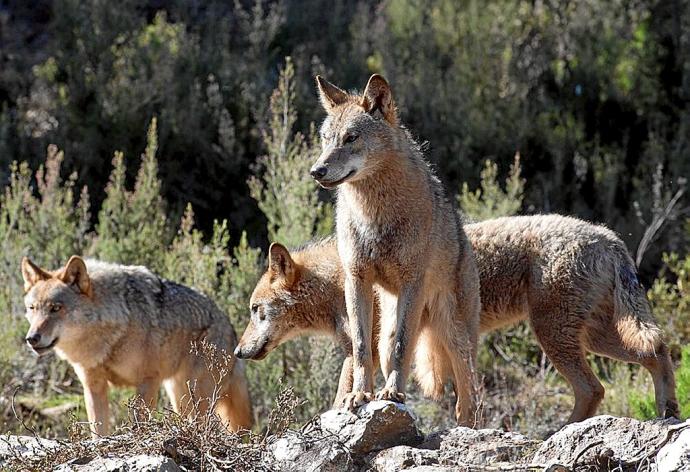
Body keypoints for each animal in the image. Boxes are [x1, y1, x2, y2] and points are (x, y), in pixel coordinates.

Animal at [20, 256, 253, 436]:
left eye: (56, 308)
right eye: (32, 308)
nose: (32, 338)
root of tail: (230, 328)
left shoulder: (148, 381)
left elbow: (140, 423)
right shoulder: (93, 386)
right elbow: (98, 431)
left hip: (197, 397)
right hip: (180, 398)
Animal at [234, 216, 676, 426]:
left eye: (256, 311)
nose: (238, 352)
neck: (337, 279)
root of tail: (608, 237)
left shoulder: (368, 349)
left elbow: (344, 393)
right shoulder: (362, 351)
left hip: (556, 337)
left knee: (595, 386)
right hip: (594, 338)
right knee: (656, 352)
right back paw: (668, 412)